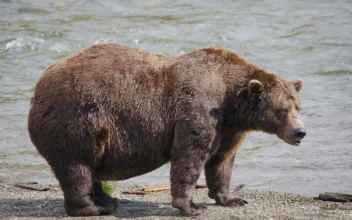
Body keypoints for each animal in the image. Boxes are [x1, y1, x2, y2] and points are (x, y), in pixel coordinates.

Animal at [28, 43, 306, 217]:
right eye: (283, 110)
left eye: (298, 106)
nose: (300, 132)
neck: (231, 102)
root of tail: (38, 85)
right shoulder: (198, 107)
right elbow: (190, 154)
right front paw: (193, 207)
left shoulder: (229, 128)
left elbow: (222, 161)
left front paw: (232, 199)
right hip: (75, 119)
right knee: (77, 166)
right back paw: (93, 207)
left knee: (91, 165)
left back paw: (107, 200)